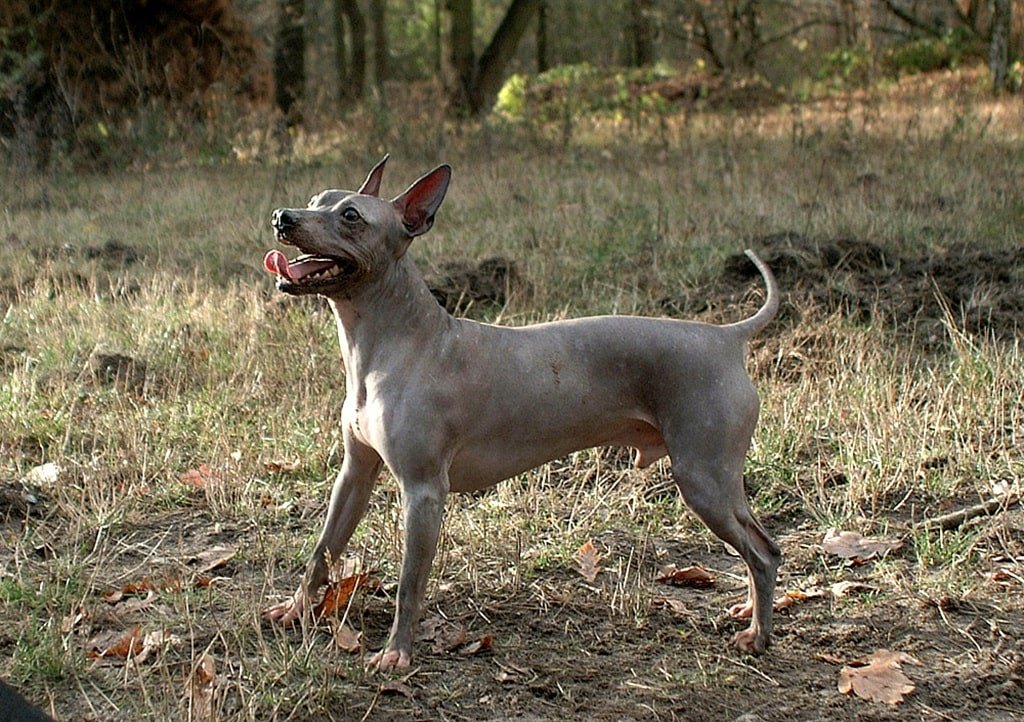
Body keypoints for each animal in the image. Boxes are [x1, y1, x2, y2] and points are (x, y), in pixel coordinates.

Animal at [264, 157, 782, 671]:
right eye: (316, 200)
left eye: (351, 216)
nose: (282, 217)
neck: (391, 344)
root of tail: (724, 337)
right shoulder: (355, 475)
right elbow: (322, 552)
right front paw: (295, 611)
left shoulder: (424, 492)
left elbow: (409, 584)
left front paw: (397, 653)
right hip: (715, 483)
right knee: (757, 545)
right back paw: (748, 610)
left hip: (703, 480)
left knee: (764, 552)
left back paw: (757, 635)